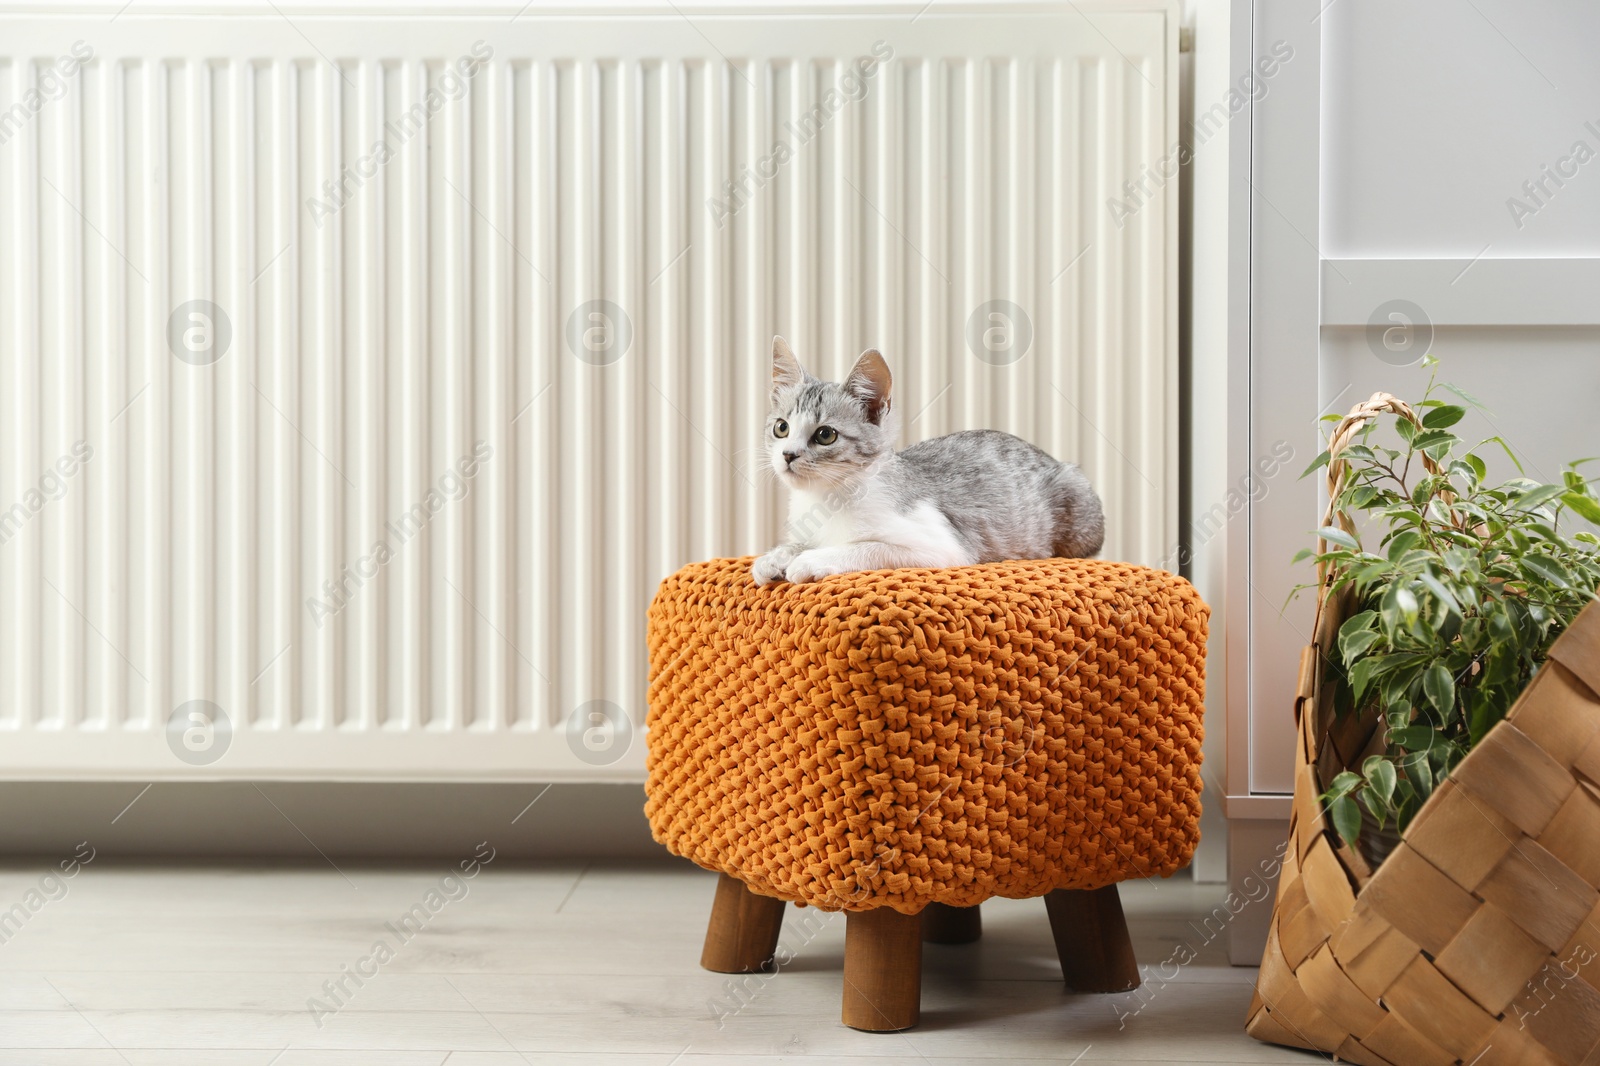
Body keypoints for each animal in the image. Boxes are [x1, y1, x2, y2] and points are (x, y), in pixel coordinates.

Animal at [745, 336, 1100, 585]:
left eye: (825, 435)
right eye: (781, 428)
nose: (788, 455)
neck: (827, 497)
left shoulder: (943, 546)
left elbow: (870, 547)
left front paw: (810, 560)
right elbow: (800, 542)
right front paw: (777, 556)